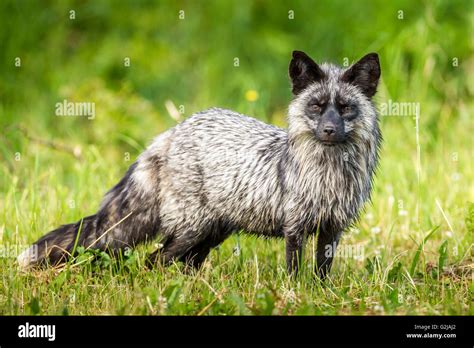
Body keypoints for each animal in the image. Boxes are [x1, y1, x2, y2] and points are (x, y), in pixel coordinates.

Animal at [17, 51, 382, 278]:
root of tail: (172, 132)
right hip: (191, 229)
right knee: (153, 261)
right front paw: (295, 296)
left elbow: (321, 274)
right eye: (317, 106)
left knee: (183, 265)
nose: (329, 130)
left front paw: (318, 296)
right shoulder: (295, 227)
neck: (329, 178)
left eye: (345, 108)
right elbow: (294, 273)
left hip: (210, 233)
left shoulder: (332, 228)